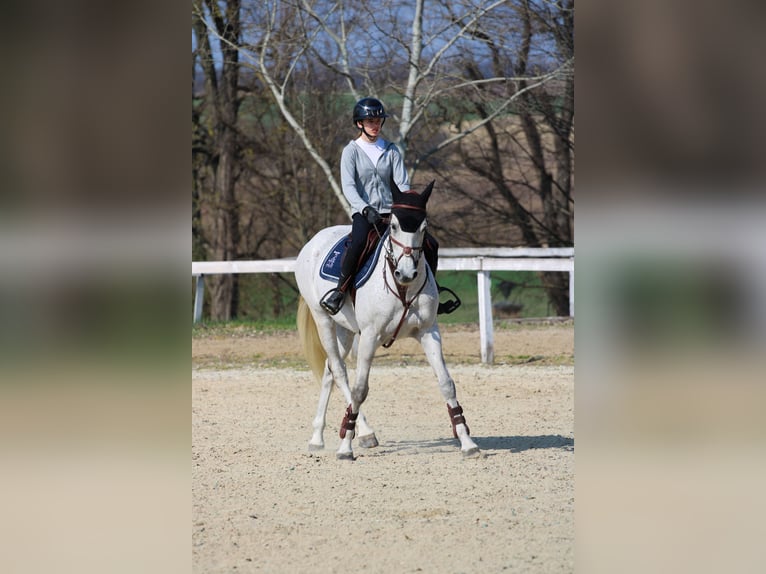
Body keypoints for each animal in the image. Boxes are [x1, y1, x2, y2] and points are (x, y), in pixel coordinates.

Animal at [294, 180, 480, 464]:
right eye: (393, 225)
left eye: (423, 227)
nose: (406, 274)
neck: (401, 288)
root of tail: (313, 241)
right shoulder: (370, 336)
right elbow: (360, 389)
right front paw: (346, 447)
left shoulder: (429, 332)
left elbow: (446, 384)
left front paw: (467, 441)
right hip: (323, 319)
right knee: (340, 371)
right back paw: (364, 433)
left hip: (346, 329)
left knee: (329, 371)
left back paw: (317, 438)